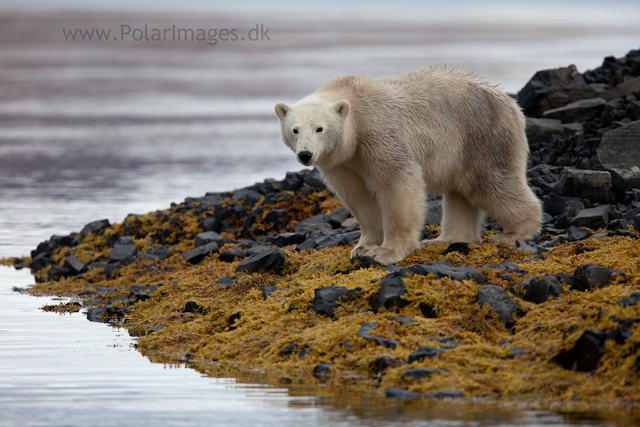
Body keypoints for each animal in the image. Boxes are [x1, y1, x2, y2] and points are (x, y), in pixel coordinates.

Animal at [274, 66, 540, 264]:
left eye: (320, 128)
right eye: (295, 130)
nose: (306, 154)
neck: (354, 103)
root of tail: (512, 104)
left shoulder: (378, 134)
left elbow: (398, 183)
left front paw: (386, 251)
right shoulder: (344, 162)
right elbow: (360, 197)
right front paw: (363, 247)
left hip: (483, 137)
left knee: (488, 183)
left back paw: (514, 232)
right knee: (460, 192)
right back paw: (445, 239)